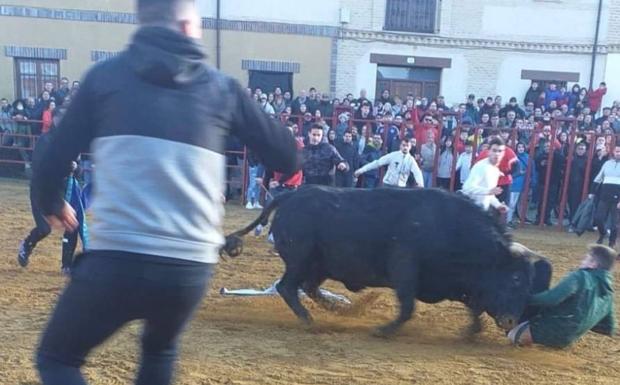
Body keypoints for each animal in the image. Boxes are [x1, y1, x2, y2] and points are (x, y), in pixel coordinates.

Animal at [223, 184, 552, 334]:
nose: (511, 320)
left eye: (527, 285)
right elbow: (407, 307)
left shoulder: (456, 283)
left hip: (320, 264)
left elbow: (473, 306)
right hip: (301, 259)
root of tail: (291, 195)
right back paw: (310, 320)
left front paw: (471, 332)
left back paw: (340, 310)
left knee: (308, 287)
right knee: (288, 287)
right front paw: (385, 330)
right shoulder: (405, 269)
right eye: (515, 279)